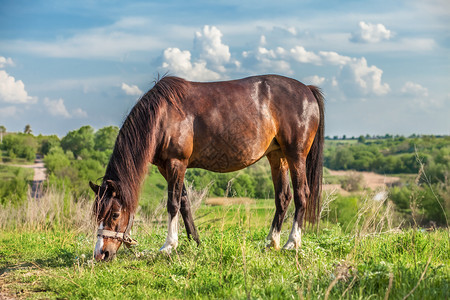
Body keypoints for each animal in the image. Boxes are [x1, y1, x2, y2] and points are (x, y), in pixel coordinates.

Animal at [90, 74, 324, 260]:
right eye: (96, 213)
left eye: (115, 214)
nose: (101, 254)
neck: (163, 115)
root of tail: (307, 90)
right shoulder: (167, 167)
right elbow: (184, 202)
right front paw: (195, 241)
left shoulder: (176, 163)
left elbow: (173, 203)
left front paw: (168, 245)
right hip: (277, 156)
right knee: (283, 197)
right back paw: (271, 242)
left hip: (296, 155)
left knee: (301, 194)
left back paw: (291, 242)